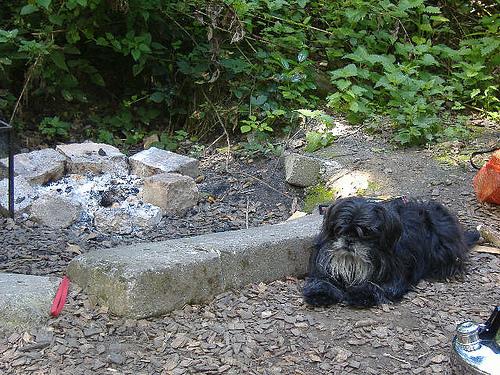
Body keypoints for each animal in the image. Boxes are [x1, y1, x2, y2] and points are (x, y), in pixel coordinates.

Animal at [302, 197, 478, 308]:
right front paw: (321, 293)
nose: (349, 240)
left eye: (367, 233)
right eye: (340, 229)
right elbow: (323, 280)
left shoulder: (394, 278)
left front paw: (361, 295)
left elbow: (376, 286)